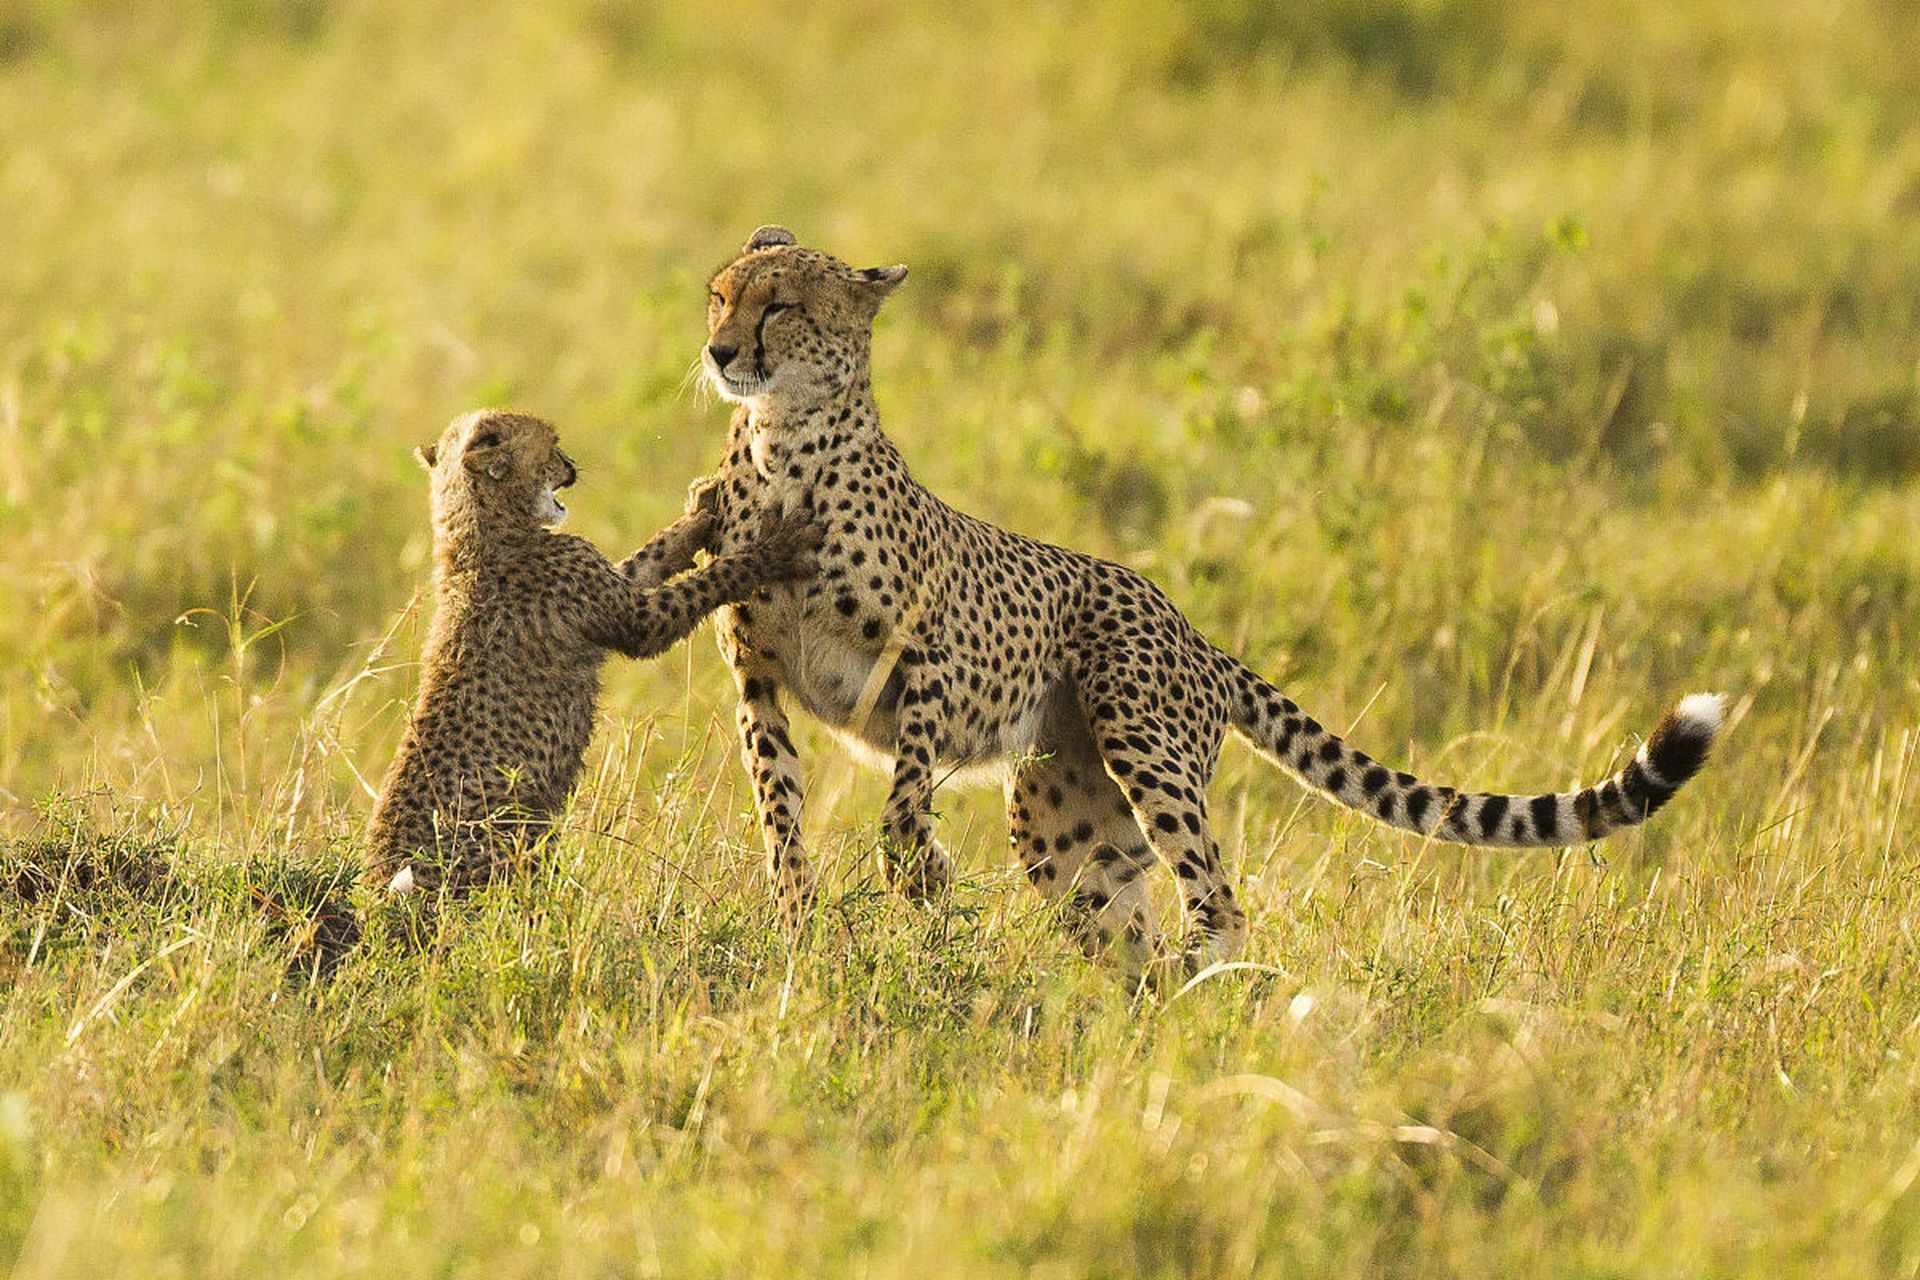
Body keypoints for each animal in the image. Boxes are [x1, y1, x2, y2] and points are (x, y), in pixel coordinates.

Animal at [366, 408, 817, 890]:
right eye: (551, 445)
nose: (570, 465)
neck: (481, 531)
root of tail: (374, 883)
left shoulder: (613, 588)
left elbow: (651, 556)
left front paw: (701, 509)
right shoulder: (634, 618)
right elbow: (709, 581)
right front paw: (775, 548)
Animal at [691, 225, 1728, 974]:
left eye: (781, 306)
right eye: (721, 294)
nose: (720, 350)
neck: (785, 441)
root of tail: (1193, 630)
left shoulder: (935, 659)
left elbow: (903, 799)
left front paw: (918, 874)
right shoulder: (758, 680)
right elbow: (779, 811)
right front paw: (800, 927)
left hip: (1136, 735)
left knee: (1216, 895)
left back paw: (1204, 980)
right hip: (1064, 821)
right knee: (1123, 925)